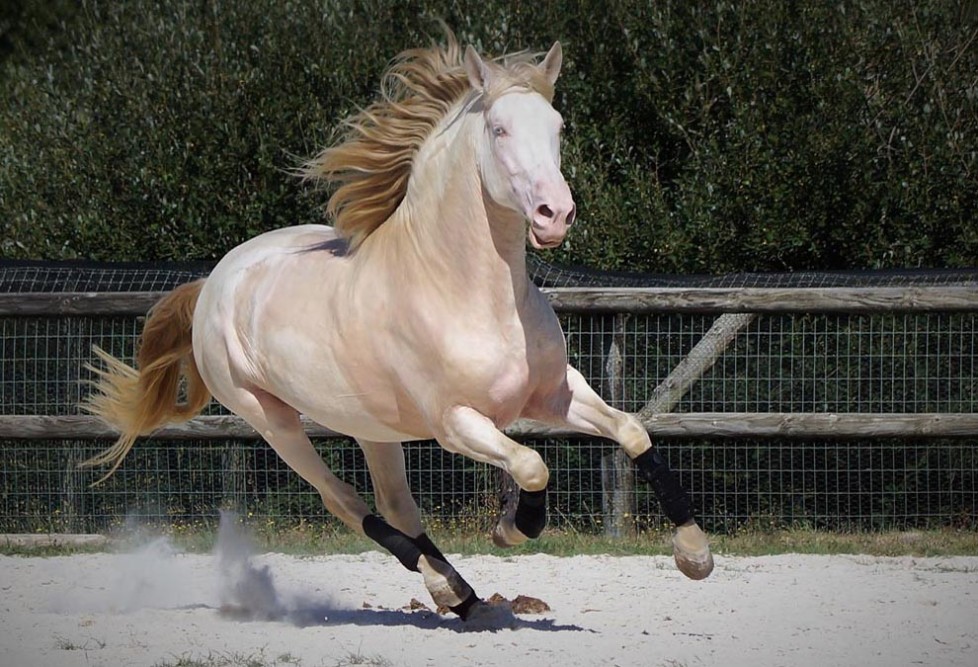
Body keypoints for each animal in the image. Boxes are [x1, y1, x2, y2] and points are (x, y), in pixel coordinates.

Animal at [82, 32, 708, 620]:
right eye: (499, 130)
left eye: (557, 127)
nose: (555, 216)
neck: (468, 293)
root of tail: (214, 280)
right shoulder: (457, 422)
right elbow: (532, 465)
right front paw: (513, 528)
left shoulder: (552, 394)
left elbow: (632, 431)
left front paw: (694, 553)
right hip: (269, 419)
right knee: (346, 502)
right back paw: (448, 587)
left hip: (372, 428)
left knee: (395, 504)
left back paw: (461, 596)